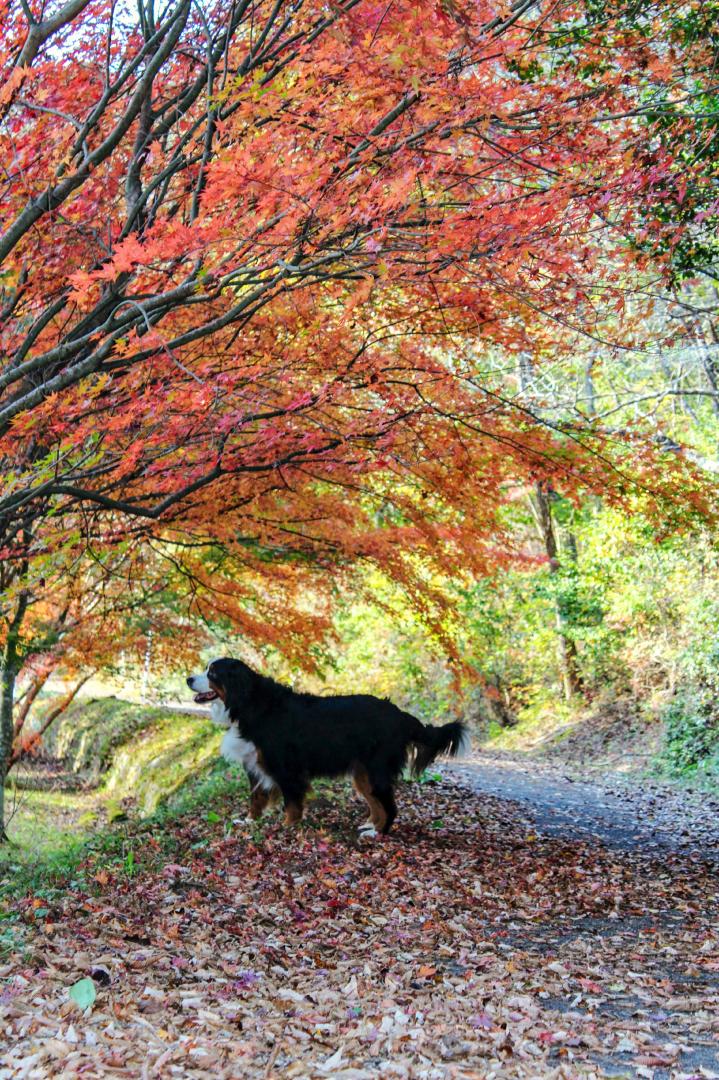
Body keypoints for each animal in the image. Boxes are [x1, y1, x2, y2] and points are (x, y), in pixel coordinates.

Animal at [184, 656, 468, 833]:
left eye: (212, 672)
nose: (187, 679)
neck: (248, 703)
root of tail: (400, 714)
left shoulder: (286, 768)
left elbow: (292, 803)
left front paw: (288, 827)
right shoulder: (254, 764)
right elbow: (256, 798)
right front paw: (249, 821)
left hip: (376, 769)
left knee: (390, 806)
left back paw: (378, 833)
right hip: (363, 773)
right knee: (376, 803)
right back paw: (370, 826)